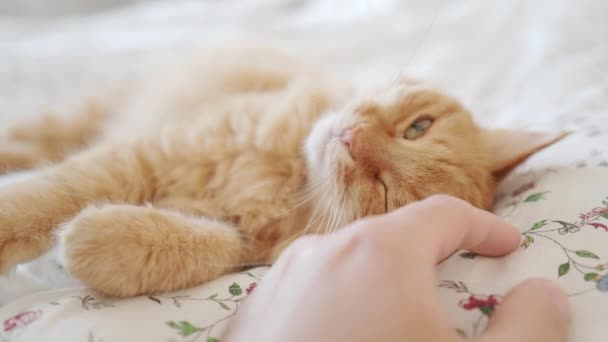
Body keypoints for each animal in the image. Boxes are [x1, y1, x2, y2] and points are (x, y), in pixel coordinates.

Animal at [0, 47, 564, 296]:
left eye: (384, 195)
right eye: (417, 128)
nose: (353, 139)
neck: (286, 177)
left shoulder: (249, 248)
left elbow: (201, 246)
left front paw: (95, 240)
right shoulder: (142, 155)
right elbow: (45, 197)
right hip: (87, 117)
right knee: (33, 141)